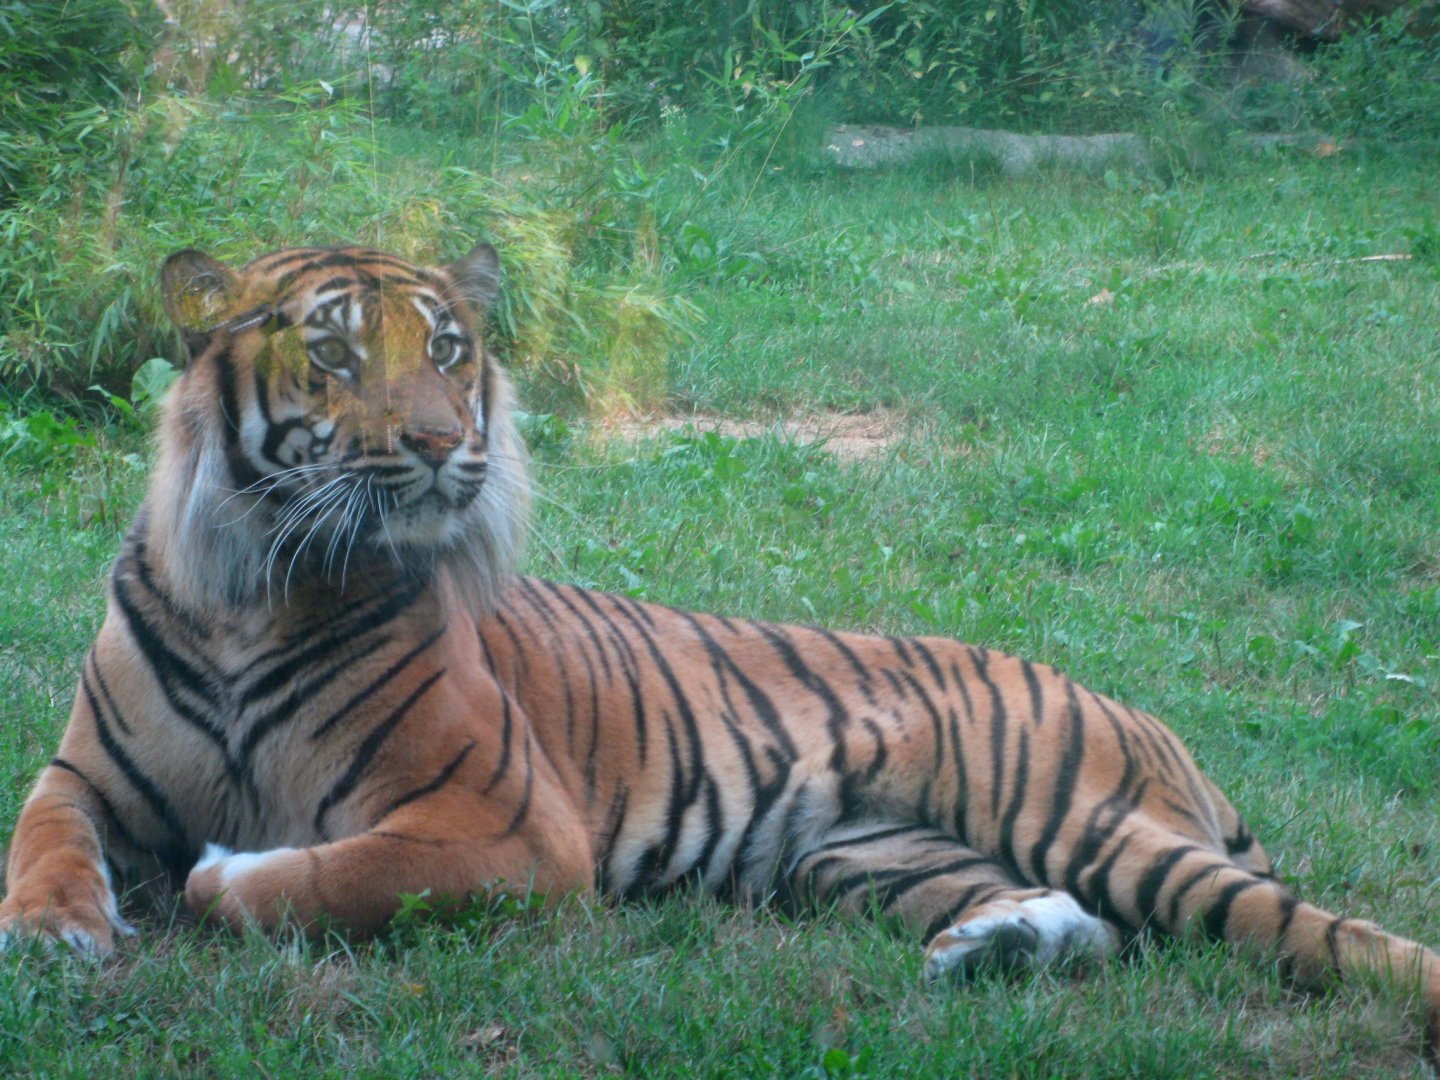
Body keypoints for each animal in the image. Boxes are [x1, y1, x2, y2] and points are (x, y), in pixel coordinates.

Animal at [2, 242, 1437, 1058]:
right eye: (333, 355)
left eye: (452, 354)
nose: (443, 446)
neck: (254, 586)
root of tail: (1141, 715)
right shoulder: (83, 776)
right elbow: (42, 840)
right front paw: (53, 934)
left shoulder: (505, 831)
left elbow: (303, 881)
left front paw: (222, 870)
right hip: (862, 857)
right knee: (1084, 929)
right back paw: (995, 952)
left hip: (1083, 815)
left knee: (1315, 936)